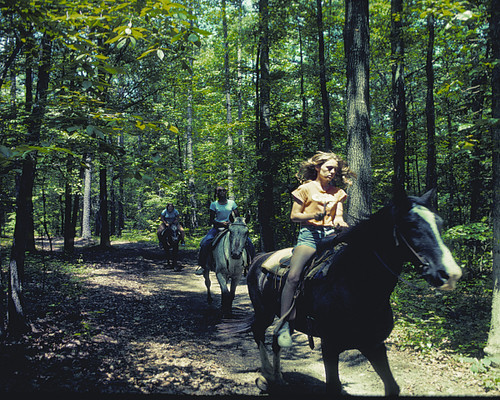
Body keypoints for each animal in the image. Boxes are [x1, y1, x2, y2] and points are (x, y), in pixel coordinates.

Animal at [244, 189, 462, 396]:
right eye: (411, 224)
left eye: (439, 223)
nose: (451, 274)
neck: (356, 287)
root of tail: (259, 258)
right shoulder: (330, 347)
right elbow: (333, 386)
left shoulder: (373, 345)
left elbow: (392, 387)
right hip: (264, 312)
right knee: (258, 331)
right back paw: (267, 376)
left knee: (275, 340)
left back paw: (278, 378)